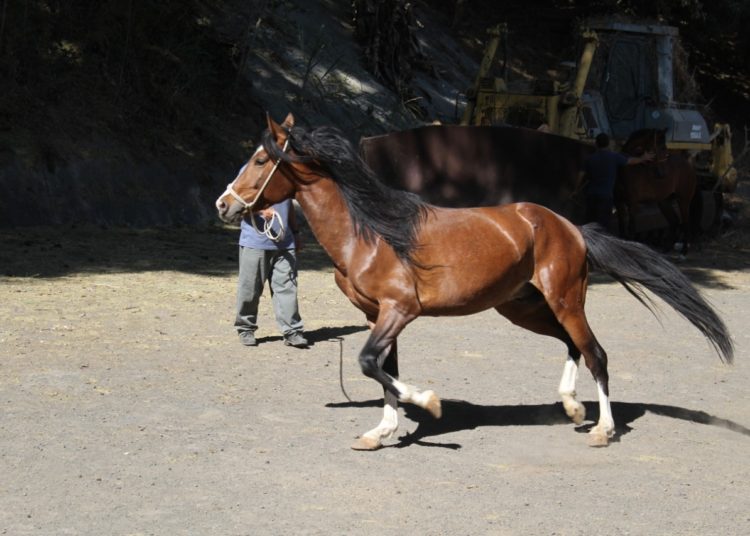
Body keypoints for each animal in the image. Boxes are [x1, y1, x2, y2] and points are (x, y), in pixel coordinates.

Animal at [215, 113, 733, 450]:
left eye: (260, 160)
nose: (224, 204)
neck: (372, 232)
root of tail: (570, 226)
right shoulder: (377, 315)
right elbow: (383, 371)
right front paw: (381, 432)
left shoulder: (399, 311)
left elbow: (369, 365)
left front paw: (430, 403)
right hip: (523, 307)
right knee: (572, 346)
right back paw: (572, 408)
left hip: (565, 300)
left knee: (596, 354)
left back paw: (603, 429)